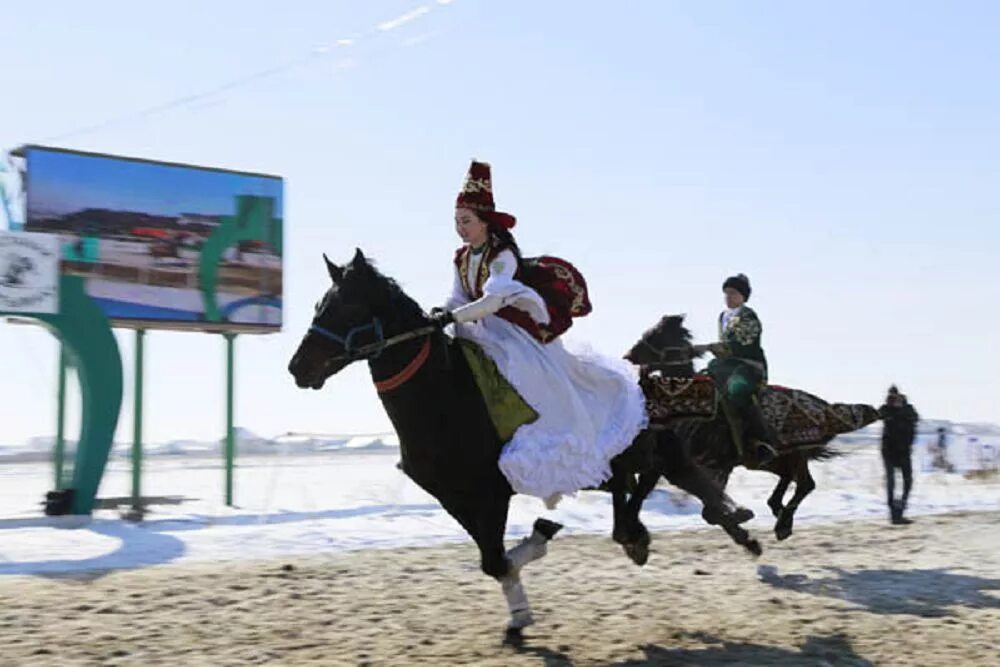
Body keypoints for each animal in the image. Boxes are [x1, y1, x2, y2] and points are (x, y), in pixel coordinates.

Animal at [290, 249, 756, 632]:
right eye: (319, 305)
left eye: (346, 305)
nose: (298, 367)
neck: (447, 397)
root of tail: (644, 378)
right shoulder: (454, 495)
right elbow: (491, 560)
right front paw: (520, 606)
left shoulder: (492, 490)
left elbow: (495, 559)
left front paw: (539, 544)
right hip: (628, 459)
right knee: (649, 481)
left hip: (638, 451)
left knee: (650, 477)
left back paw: (653, 533)